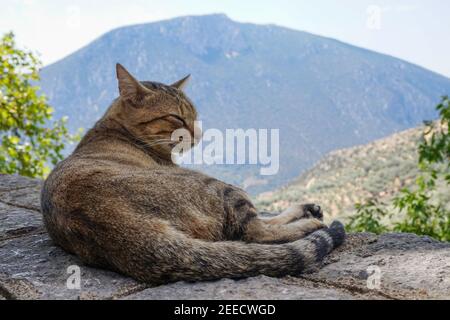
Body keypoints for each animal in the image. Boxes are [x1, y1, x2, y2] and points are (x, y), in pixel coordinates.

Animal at [41, 63, 344, 284]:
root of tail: (120, 228)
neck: (113, 128)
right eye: (176, 117)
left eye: (195, 116)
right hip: (218, 186)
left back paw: (308, 209)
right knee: (256, 231)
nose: (199, 134)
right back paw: (311, 223)